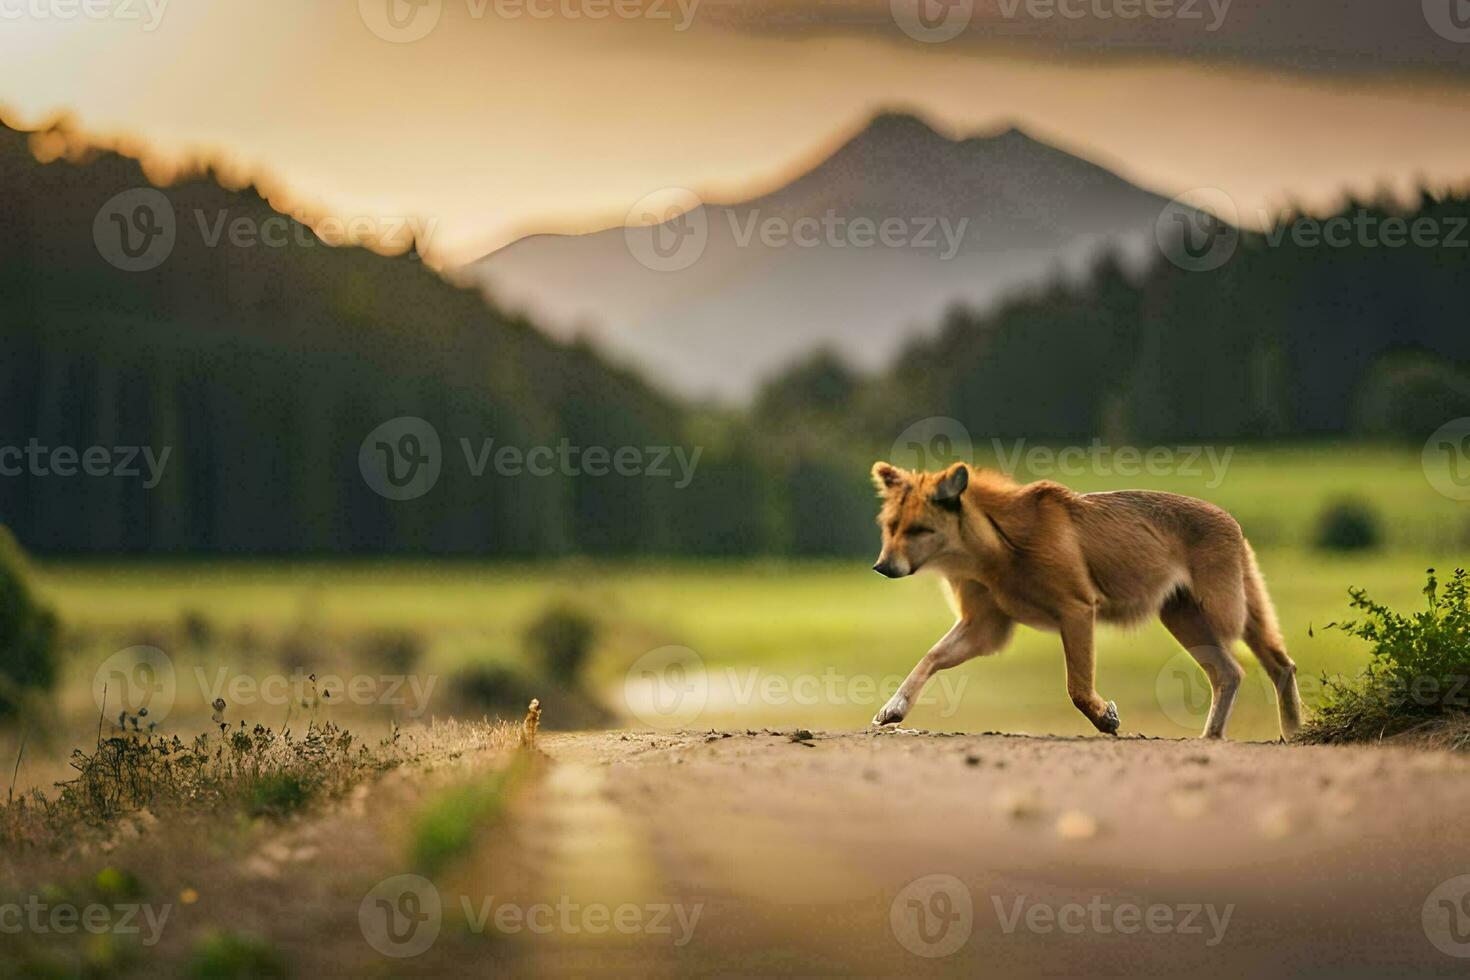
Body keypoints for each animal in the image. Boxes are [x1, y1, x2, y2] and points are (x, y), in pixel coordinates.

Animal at [864, 464, 1305, 740]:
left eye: (920, 529)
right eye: (891, 527)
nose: (882, 566)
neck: (997, 546)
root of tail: (1233, 521)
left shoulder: (1076, 609)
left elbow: (1076, 686)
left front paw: (1104, 718)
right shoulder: (985, 628)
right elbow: (930, 657)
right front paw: (894, 707)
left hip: (1223, 611)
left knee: (1274, 664)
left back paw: (1293, 732)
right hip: (1184, 617)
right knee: (1234, 671)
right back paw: (1223, 736)